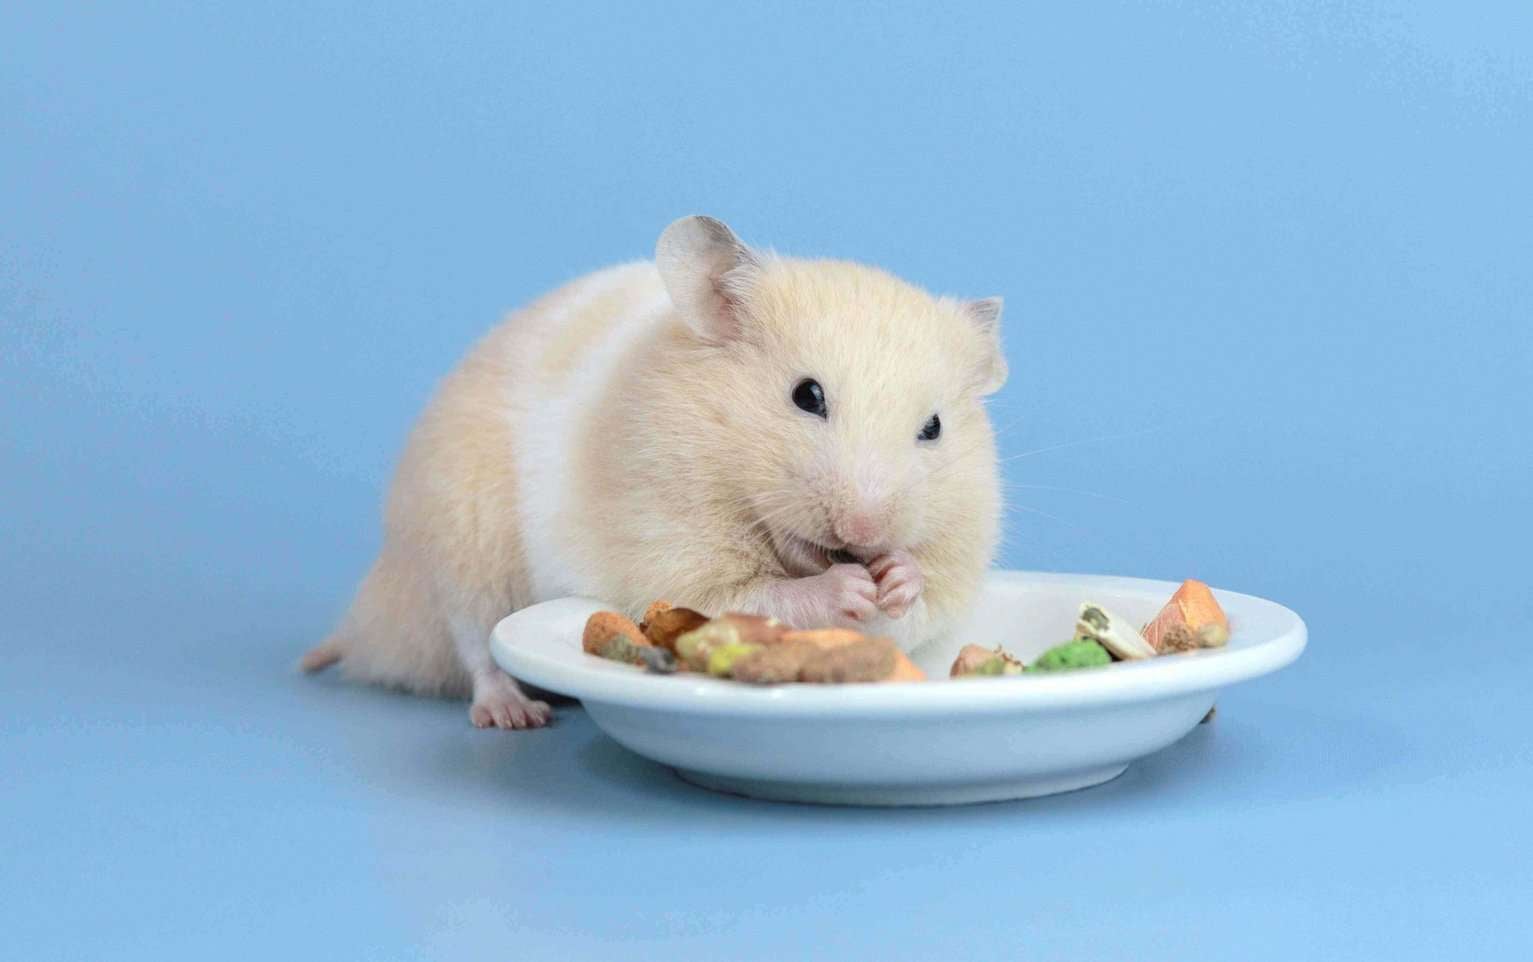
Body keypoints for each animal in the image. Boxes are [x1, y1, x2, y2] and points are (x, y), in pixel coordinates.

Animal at [301, 216, 1007, 729]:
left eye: (933, 427)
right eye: (807, 396)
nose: (864, 532)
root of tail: (373, 617)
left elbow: (914, 611)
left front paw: (898, 578)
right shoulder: (669, 551)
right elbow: (752, 596)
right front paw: (850, 588)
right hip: (460, 541)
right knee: (473, 644)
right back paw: (514, 713)